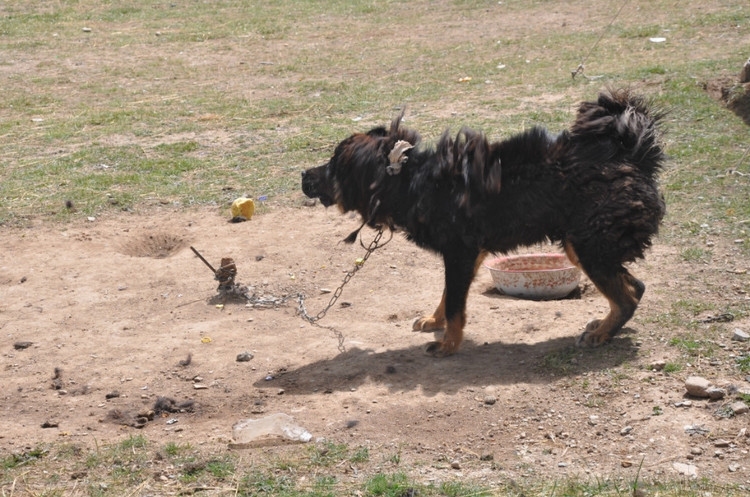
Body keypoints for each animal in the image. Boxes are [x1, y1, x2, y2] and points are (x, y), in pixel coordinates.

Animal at [302, 88, 668, 352]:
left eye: (333, 165)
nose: (304, 174)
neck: (408, 181)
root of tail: (631, 158)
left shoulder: (460, 252)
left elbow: (455, 305)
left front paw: (449, 345)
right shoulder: (469, 254)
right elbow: (447, 295)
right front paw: (436, 323)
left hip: (588, 246)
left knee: (627, 295)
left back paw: (601, 334)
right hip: (585, 245)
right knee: (635, 286)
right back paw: (605, 327)